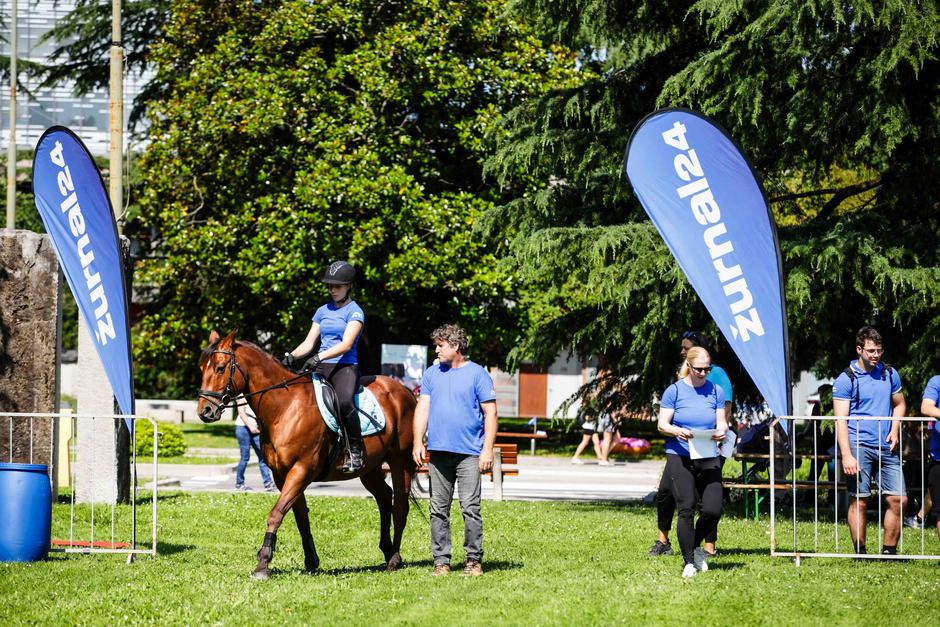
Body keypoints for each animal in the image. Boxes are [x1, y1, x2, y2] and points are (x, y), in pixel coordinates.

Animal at [195, 332, 414, 580]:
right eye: (202, 368)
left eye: (220, 368)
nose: (205, 411)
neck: (285, 407)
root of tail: (405, 391)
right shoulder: (283, 475)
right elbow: (300, 517)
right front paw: (311, 561)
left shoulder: (301, 469)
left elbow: (277, 513)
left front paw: (262, 564)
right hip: (371, 468)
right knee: (385, 498)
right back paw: (387, 550)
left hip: (400, 461)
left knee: (400, 507)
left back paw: (394, 559)